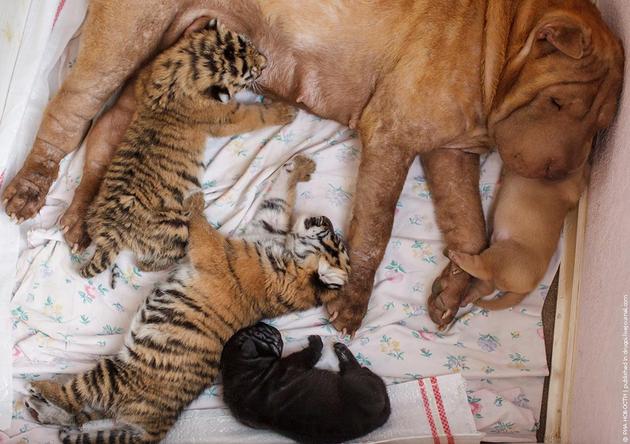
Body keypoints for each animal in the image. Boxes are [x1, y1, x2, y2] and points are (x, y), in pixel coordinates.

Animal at [220, 322, 392, 444]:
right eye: (258, 333)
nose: (265, 323)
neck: (237, 370)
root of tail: (383, 414)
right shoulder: (294, 363)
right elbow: (311, 352)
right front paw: (316, 340)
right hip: (360, 379)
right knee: (354, 367)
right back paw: (342, 350)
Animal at [450, 164, 592, 312]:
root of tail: (530, 288)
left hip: (502, 253)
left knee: (482, 268)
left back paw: (458, 258)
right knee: (487, 287)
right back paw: (468, 296)